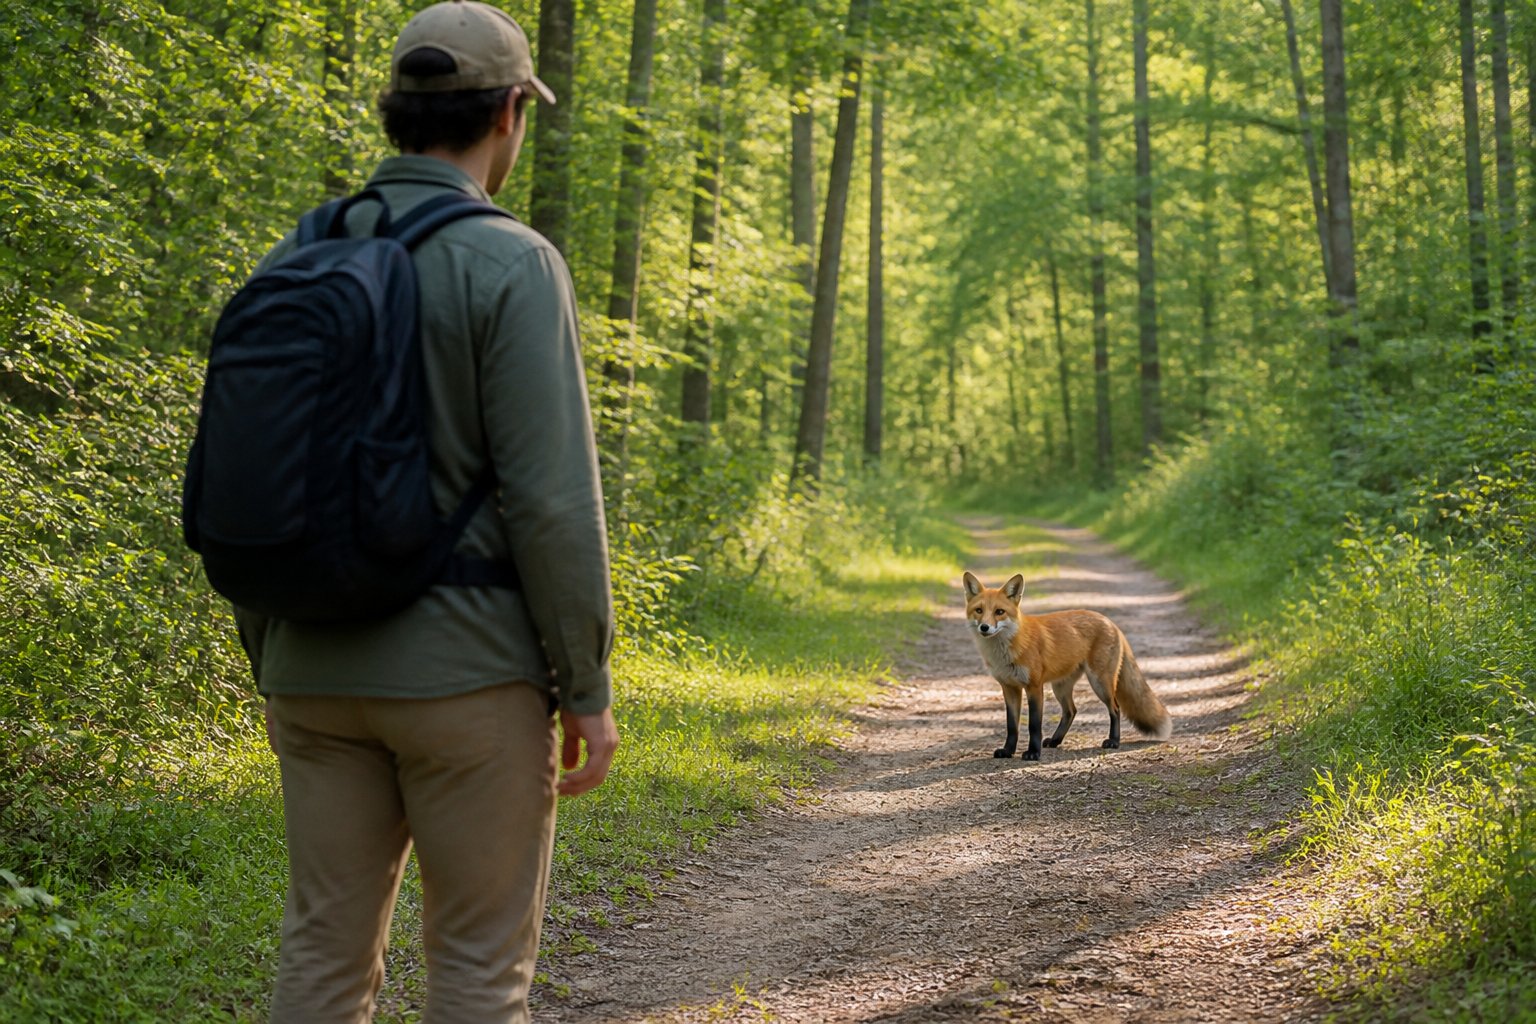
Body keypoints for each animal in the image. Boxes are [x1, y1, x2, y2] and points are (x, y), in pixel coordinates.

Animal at [963, 571, 1171, 760]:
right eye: (979, 610)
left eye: (999, 612)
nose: (984, 627)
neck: (1007, 650)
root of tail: (1110, 622)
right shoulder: (1009, 688)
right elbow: (1011, 725)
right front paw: (1008, 751)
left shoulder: (1034, 686)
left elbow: (1033, 725)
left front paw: (1033, 753)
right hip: (1061, 687)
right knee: (1071, 711)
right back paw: (1056, 740)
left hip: (1100, 683)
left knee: (1116, 708)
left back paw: (1113, 741)